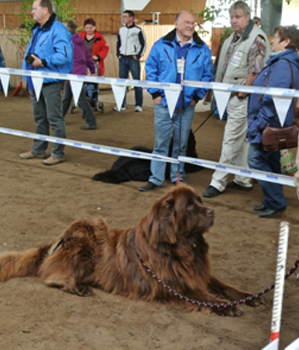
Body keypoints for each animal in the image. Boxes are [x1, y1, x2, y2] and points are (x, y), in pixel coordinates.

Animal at [0, 187, 260, 316]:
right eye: (188, 206)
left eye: (200, 201)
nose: (212, 212)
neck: (178, 248)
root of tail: (58, 238)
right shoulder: (172, 285)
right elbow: (204, 296)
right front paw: (228, 307)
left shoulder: (197, 272)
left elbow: (222, 285)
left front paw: (248, 296)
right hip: (90, 236)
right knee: (50, 274)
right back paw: (77, 286)